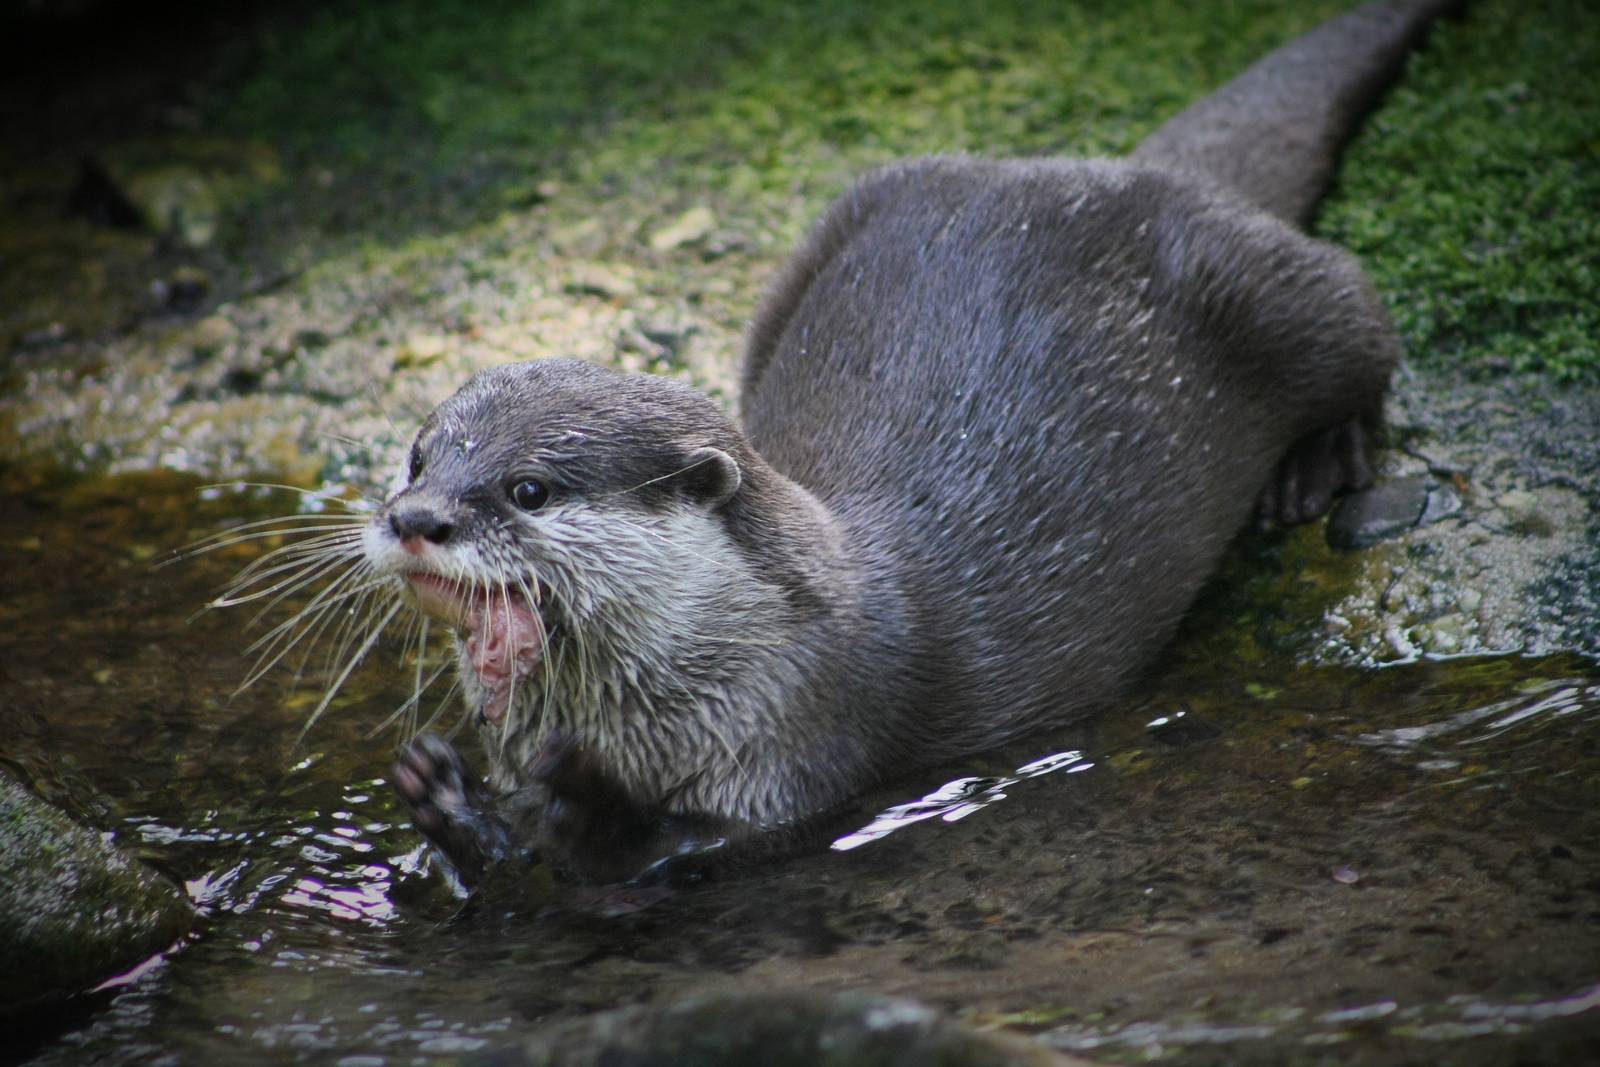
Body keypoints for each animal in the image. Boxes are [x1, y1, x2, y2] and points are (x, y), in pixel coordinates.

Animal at [360, 0, 1461, 886]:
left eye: (530, 488)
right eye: (419, 457)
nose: (415, 517)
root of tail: (1125, 168)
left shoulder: (808, 725)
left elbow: (685, 850)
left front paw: (578, 801)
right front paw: (445, 800)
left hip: (1259, 289)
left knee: (1359, 316)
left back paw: (1323, 462)